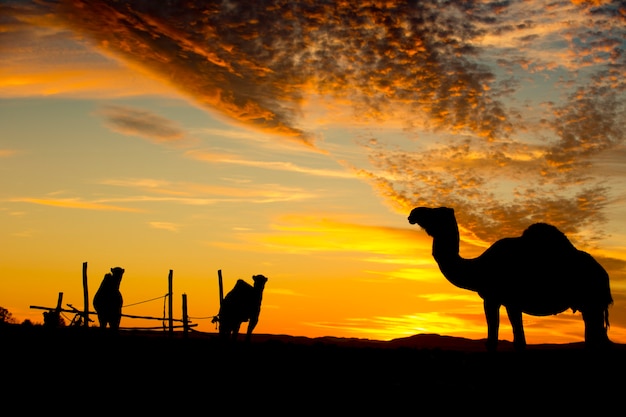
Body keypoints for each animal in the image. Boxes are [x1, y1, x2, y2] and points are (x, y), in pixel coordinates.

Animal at [404, 206, 608, 350]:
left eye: (435, 212)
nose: (413, 213)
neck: (478, 268)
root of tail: (603, 274)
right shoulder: (510, 303)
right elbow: (519, 340)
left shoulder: (493, 298)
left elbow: (496, 341)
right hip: (590, 305)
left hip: (593, 302)